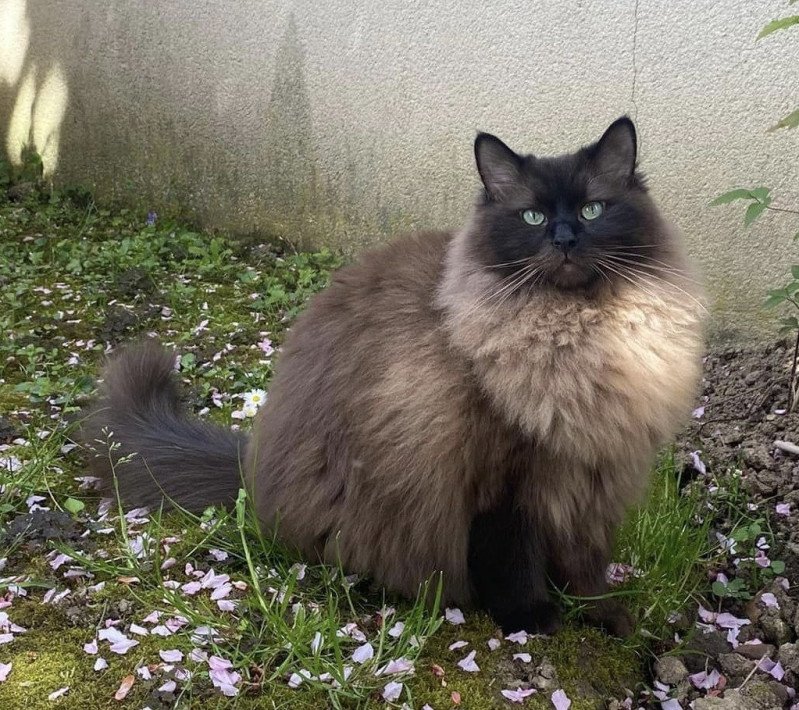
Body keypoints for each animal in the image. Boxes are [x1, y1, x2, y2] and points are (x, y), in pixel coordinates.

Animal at [79, 118, 708, 640]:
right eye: (531, 217)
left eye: (594, 211)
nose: (564, 240)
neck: (581, 338)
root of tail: (252, 466)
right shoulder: (506, 485)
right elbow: (515, 563)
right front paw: (533, 619)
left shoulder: (592, 480)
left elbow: (586, 566)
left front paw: (605, 615)